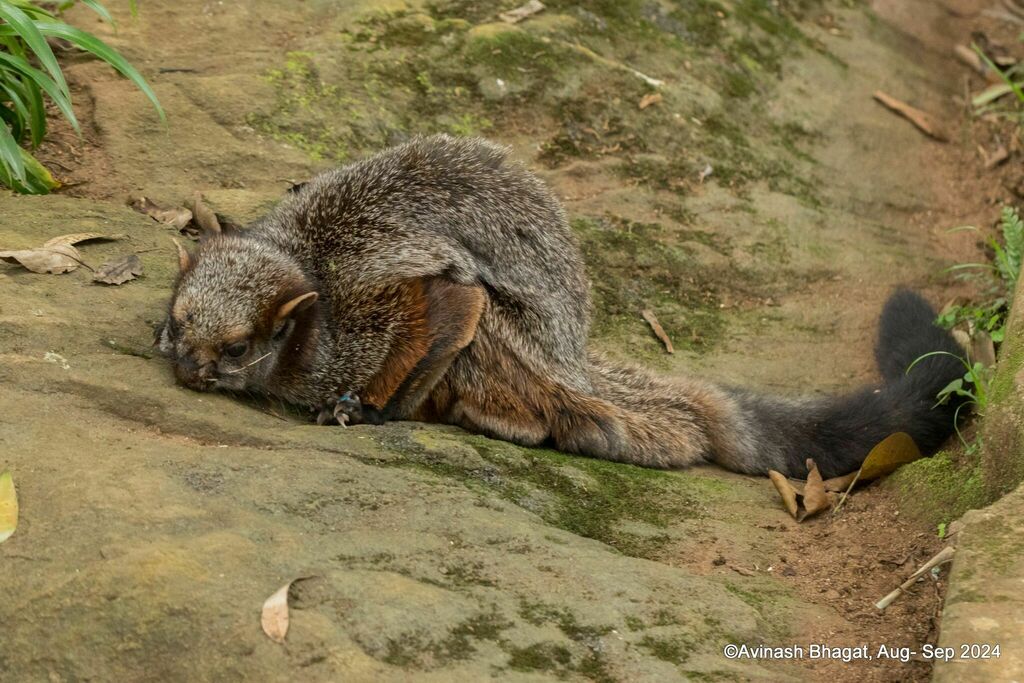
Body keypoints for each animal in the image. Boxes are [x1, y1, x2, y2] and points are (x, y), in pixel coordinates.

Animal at [159, 134, 968, 478]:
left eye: (237, 349)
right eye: (175, 324)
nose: (190, 368)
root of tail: (572, 360)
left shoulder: (379, 307)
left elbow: (454, 301)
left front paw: (369, 409)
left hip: (523, 351)